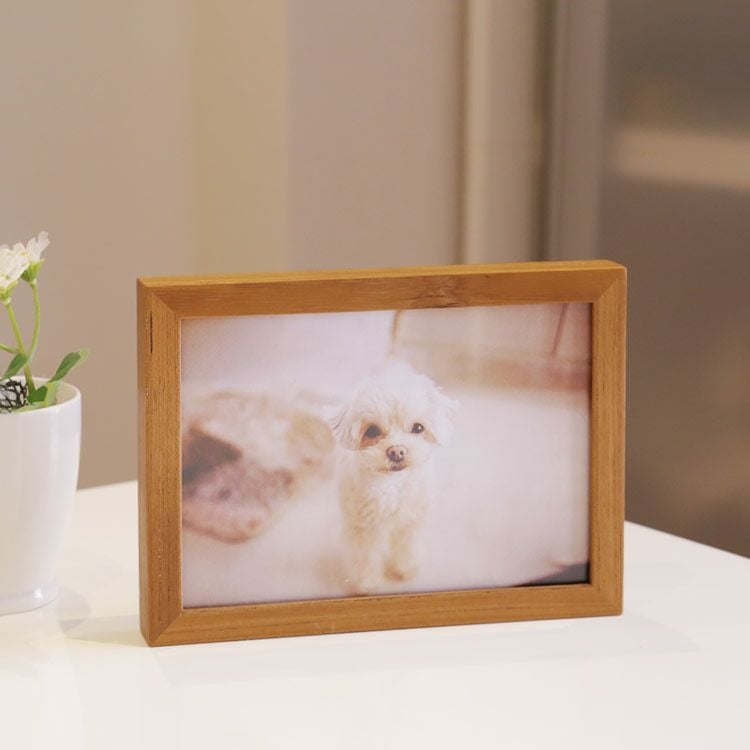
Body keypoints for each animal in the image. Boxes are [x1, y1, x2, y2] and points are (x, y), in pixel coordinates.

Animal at [331, 360, 458, 594]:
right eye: (372, 431)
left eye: (418, 427)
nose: (397, 451)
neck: (391, 485)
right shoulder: (362, 527)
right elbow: (365, 556)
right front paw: (366, 583)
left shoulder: (410, 521)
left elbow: (406, 546)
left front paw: (404, 569)